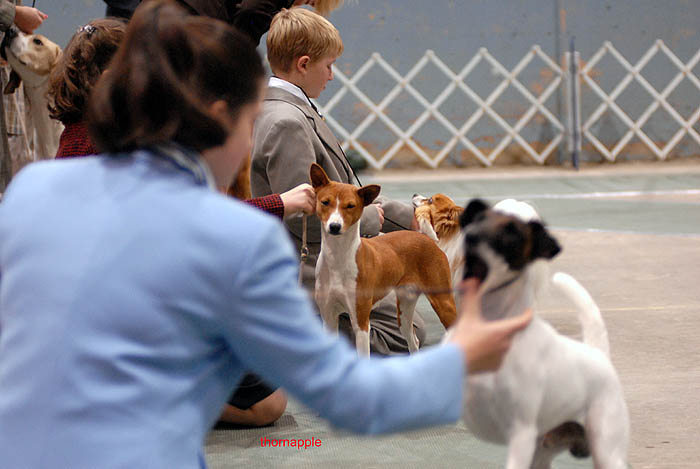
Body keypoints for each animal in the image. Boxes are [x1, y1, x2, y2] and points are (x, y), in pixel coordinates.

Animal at [310, 163, 457, 356]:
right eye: (325, 202)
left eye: (350, 206)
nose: (335, 226)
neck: (339, 260)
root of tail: (427, 238)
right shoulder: (328, 317)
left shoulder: (361, 322)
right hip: (404, 310)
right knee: (414, 341)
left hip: (442, 301)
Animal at [446, 198, 629, 469]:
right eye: (478, 220)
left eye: (512, 234)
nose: (471, 236)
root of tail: (598, 355)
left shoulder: (520, 433)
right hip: (544, 450)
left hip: (606, 450)